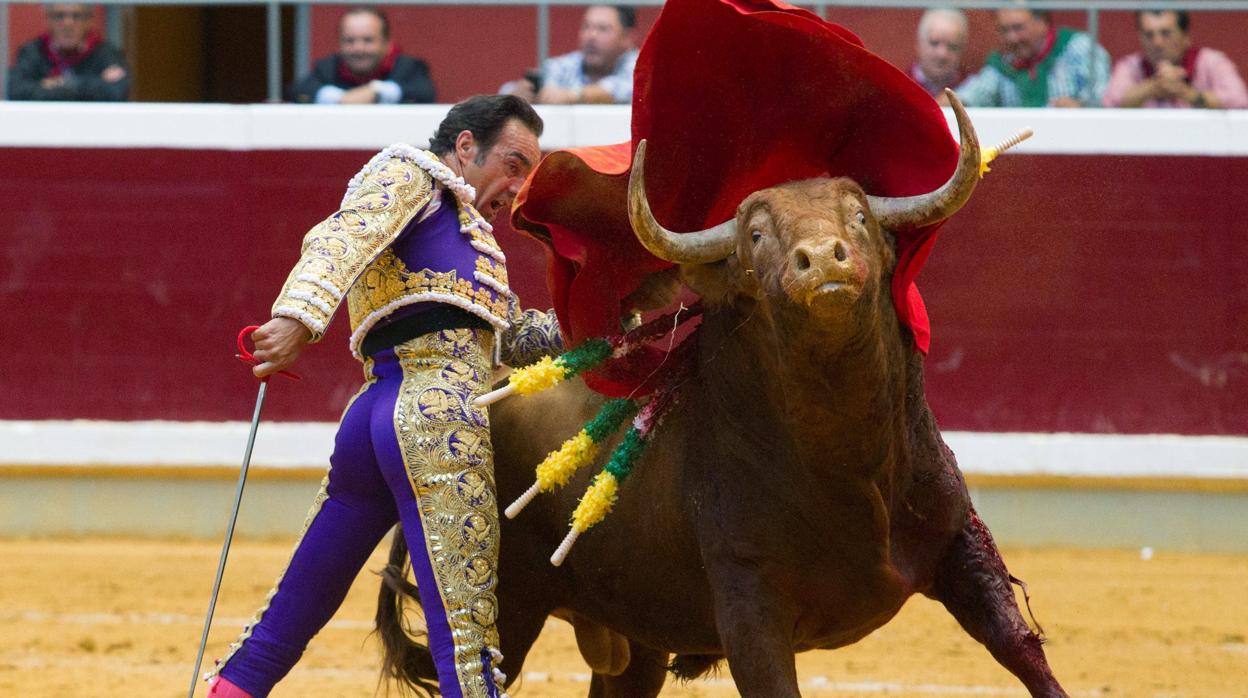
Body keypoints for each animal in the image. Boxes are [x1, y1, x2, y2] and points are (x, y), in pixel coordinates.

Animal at [374, 95, 1068, 698]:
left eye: (862, 218)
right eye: (755, 236)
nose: (823, 260)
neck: (846, 454)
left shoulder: (960, 544)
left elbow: (1020, 647)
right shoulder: (750, 608)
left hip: (637, 637)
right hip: (512, 603)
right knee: (478, 660)